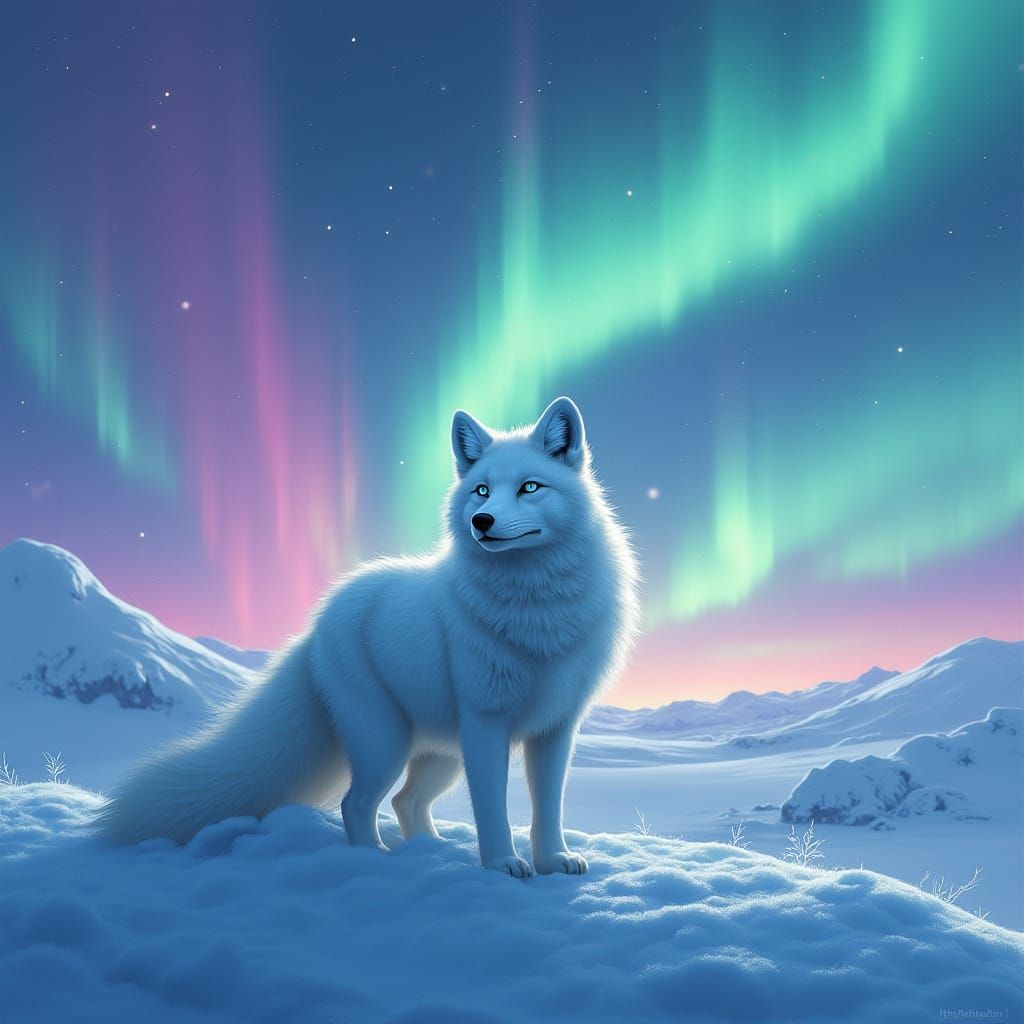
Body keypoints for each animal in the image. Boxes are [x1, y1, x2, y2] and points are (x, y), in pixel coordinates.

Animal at [97, 396, 640, 876]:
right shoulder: (486, 722)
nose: (480, 522)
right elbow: (492, 810)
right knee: (356, 803)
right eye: (482, 491)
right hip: (385, 742)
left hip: (439, 753)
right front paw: (502, 865)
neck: (536, 610)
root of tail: (316, 624)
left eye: (530, 487)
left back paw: (428, 852)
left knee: (404, 802)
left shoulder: (556, 727)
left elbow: (549, 808)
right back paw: (375, 860)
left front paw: (552, 862)